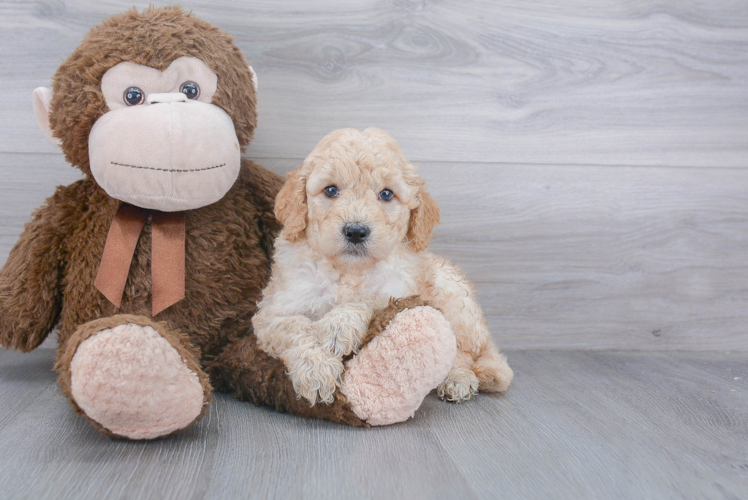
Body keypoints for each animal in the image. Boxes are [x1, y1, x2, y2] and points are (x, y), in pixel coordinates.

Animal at [254, 128, 512, 406]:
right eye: (331, 190)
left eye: (386, 194)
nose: (356, 231)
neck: (349, 271)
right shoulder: (273, 312)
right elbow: (296, 328)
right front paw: (316, 369)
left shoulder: (400, 291)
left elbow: (370, 299)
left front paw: (339, 325)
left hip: (454, 295)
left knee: (460, 350)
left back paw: (458, 379)